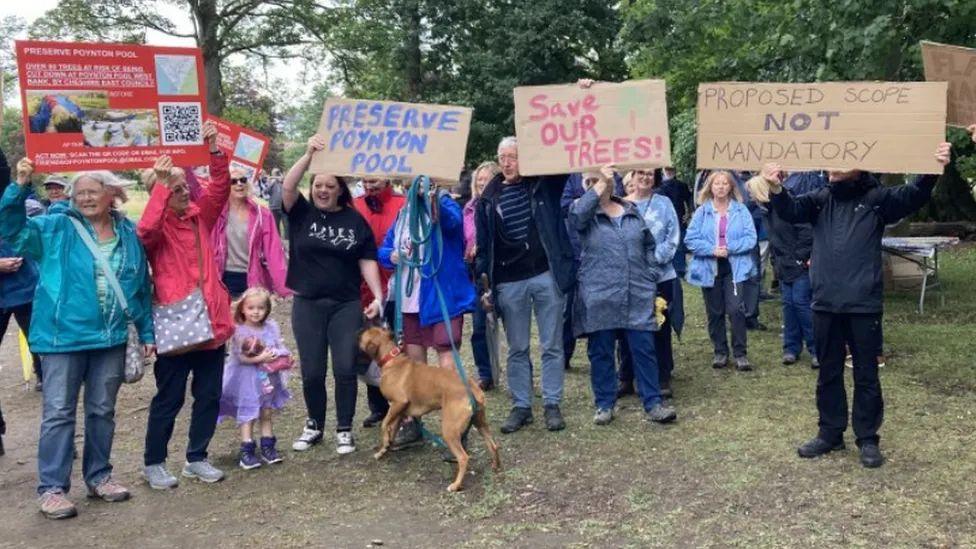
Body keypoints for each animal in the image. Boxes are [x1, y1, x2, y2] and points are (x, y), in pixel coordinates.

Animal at [356, 326, 504, 492]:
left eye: (363, 334)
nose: (358, 331)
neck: (391, 358)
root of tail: (471, 387)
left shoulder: (397, 403)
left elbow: (384, 424)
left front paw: (385, 442)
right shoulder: (400, 411)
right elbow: (391, 429)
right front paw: (384, 448)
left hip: (449, 430)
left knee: (463, 458)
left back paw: (455, 485)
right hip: (480, 423)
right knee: (493, 445)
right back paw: (496, 466)